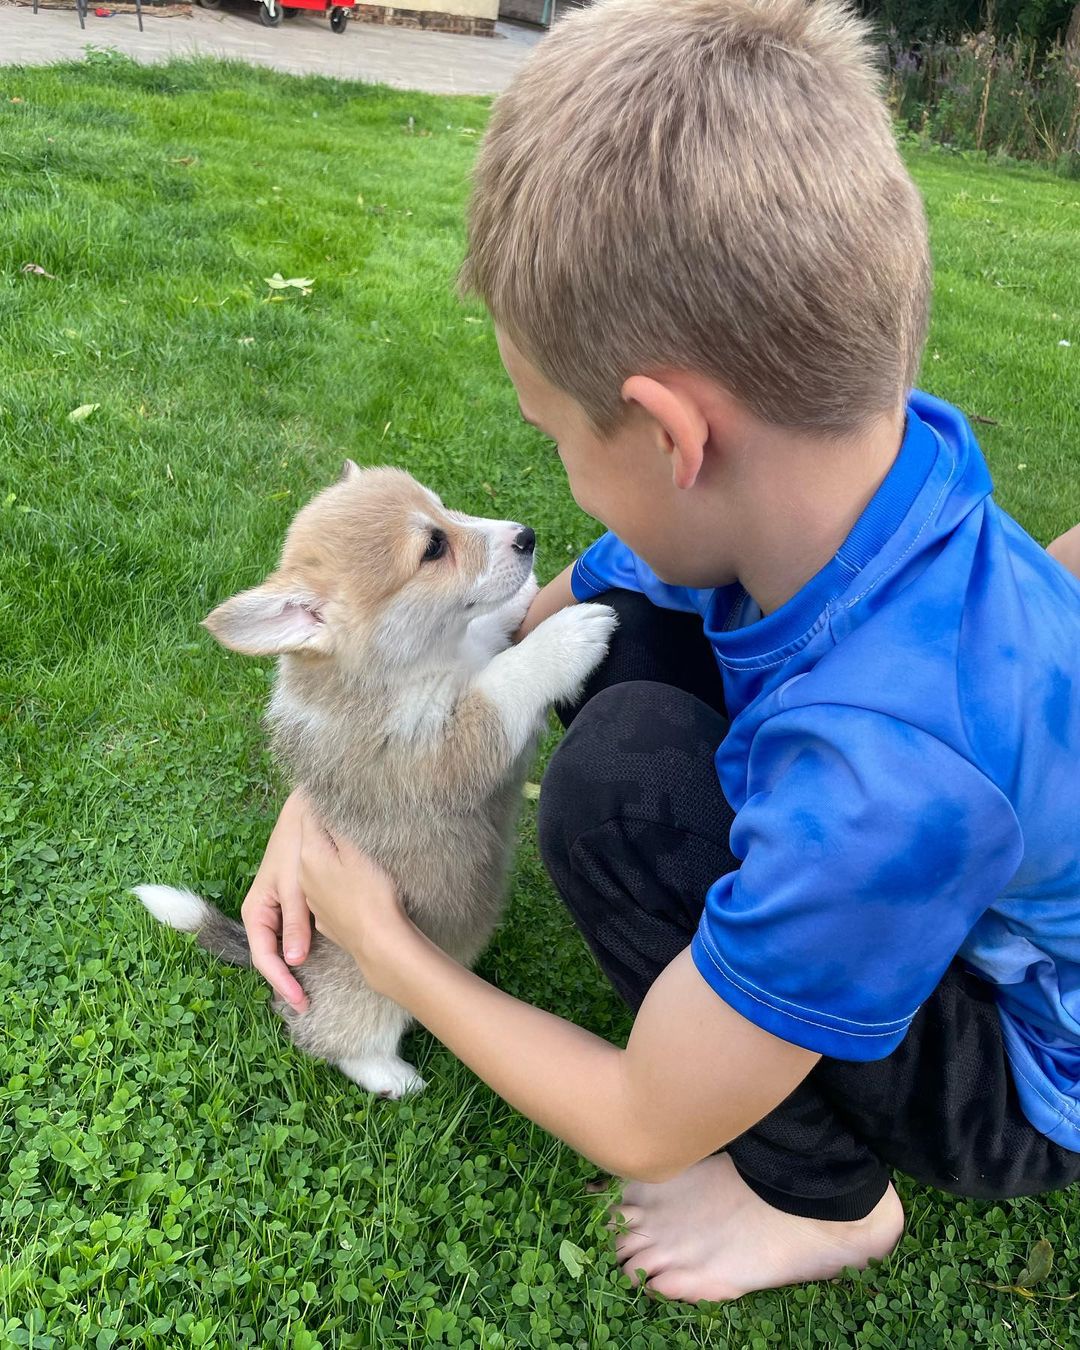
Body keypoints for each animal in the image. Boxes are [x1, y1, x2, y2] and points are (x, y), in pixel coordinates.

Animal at [137, 464, 615, 1096]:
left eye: (444, 508)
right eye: (433, 548)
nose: (527, 536)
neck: (419, 662)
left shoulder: (475, 651)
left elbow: (493, 631)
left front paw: (531, 593)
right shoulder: (445, 749)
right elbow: (504, 682)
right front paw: (569, 634)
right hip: (372, 999)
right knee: (336, 1043)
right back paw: (394, 1078)